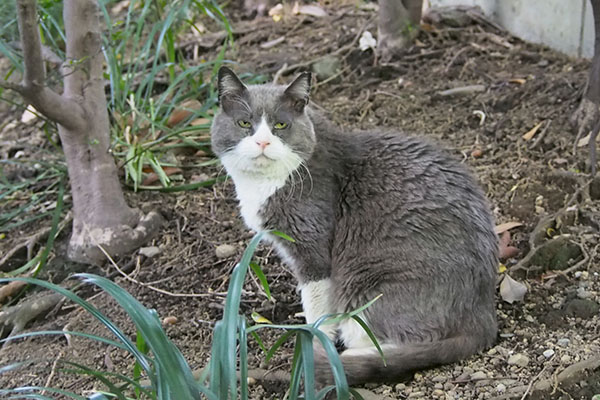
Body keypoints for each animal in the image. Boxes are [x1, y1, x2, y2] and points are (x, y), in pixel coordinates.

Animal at [210, 67, 496, 386]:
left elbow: (317, 306)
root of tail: (482, 313)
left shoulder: (313, 243)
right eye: (244, 123)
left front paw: (313, 342)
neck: (268, 182)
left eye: (280, 125)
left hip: (367, 287)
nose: (262, 143)